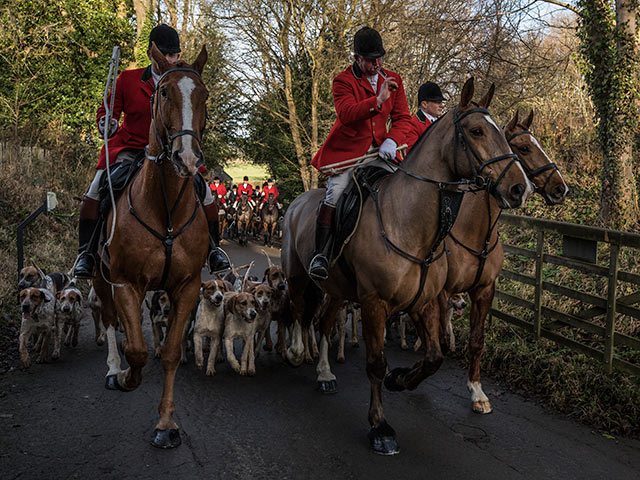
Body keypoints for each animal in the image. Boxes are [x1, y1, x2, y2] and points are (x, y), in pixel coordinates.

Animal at [90, 43, 208, 448]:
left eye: (204, 95)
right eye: (163, 92)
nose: (186, 158)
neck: (165, 209)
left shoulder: (186, 287)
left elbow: (170, 352)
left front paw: (166, 424)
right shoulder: (125, 282)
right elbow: (137, 351)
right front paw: (126, 376)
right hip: (101, 276)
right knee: (111, 320)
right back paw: (113, 368)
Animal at [282, 78, 532, 454]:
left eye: (502, 135)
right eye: (476, 131)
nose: (519, 188)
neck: (410, 224)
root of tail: (299, 199)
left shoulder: (425, 300)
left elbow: (434, 356)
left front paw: (399, 379)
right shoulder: (374, 303)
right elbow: (375, 363)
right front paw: (379, 426)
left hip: (338, 290)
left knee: (324, 323)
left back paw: (325, 373)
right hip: (298, 274)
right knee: (299, 310)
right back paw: (298, 352)